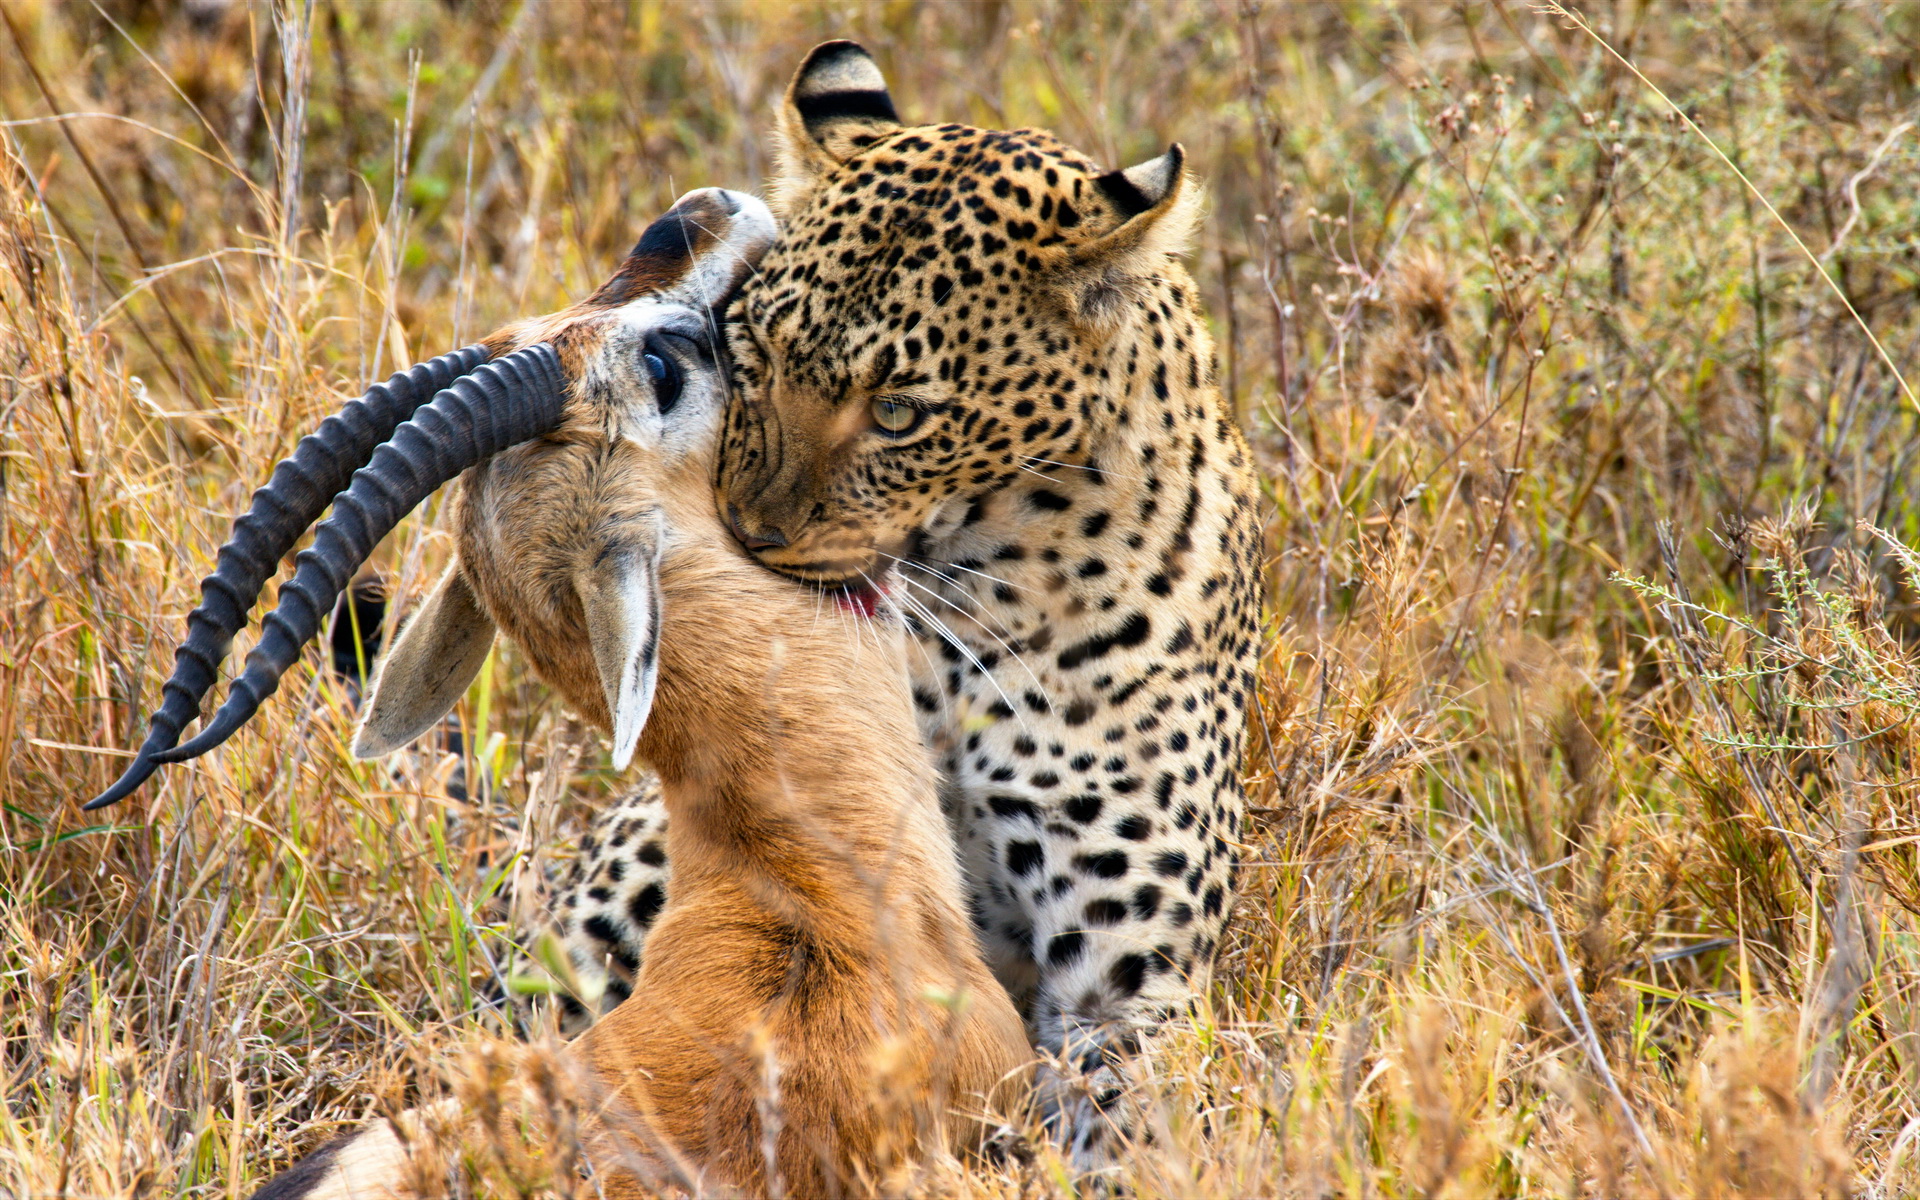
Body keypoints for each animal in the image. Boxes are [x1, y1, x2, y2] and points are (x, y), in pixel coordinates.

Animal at [541, 42, 1267, 1167]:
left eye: (898, 412)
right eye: (751, 353)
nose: (748, 530)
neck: (973, 589)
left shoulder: (1124, 979)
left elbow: (1122, 1137)